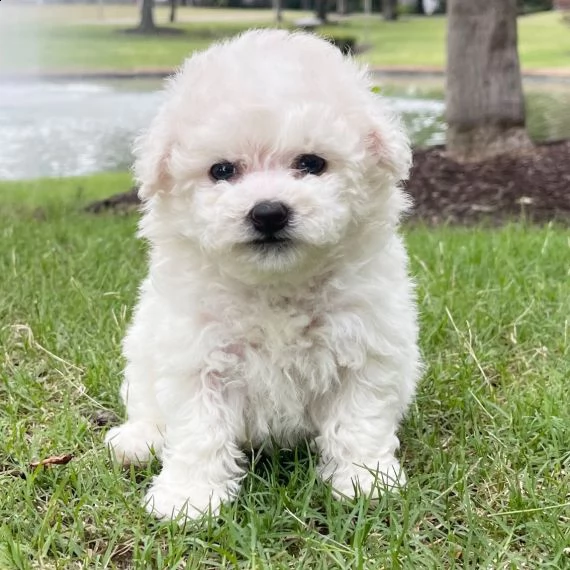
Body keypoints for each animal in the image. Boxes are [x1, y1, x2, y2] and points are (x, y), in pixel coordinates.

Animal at [104, 30, 420, 520]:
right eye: (222, 170)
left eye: (311, 163)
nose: (268, 212)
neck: (276, 287)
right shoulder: (197, 353)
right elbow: (199, 430)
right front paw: (189, 497)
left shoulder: (365, 346)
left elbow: (358, 419)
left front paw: (365, 480)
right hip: (142, 348)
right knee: (145, 403)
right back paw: (138, 441)